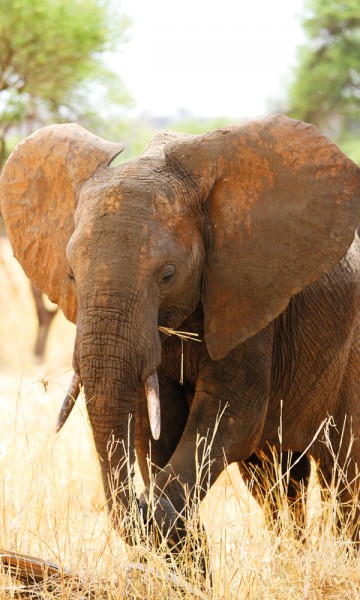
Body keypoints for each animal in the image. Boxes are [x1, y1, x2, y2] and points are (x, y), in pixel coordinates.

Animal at [0, 113, 360, 552]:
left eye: (168, 275)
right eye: (70, 274)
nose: (138, 506)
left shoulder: (248, 299)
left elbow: (229, 416)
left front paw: (165, 519)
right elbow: (154, 428)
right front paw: (175, 532)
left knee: (345, 474)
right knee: (276, 481)